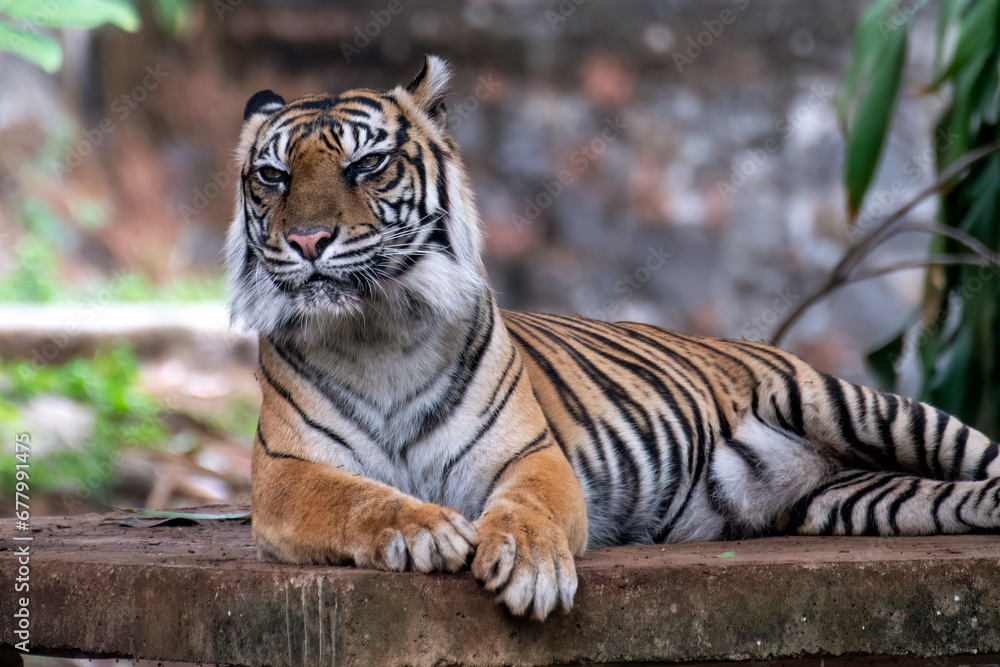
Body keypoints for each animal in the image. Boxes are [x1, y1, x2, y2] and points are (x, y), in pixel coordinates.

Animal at [225, 55, 1000, 621]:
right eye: (274, 175)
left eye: (366, 165)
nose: (307, 240)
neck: (376, 327)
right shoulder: (285, 474)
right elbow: (355, 497)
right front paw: (423, 530)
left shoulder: (531, 454)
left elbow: (531, 507)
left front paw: (531, 568)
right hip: (846, 496)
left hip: (854, 405)